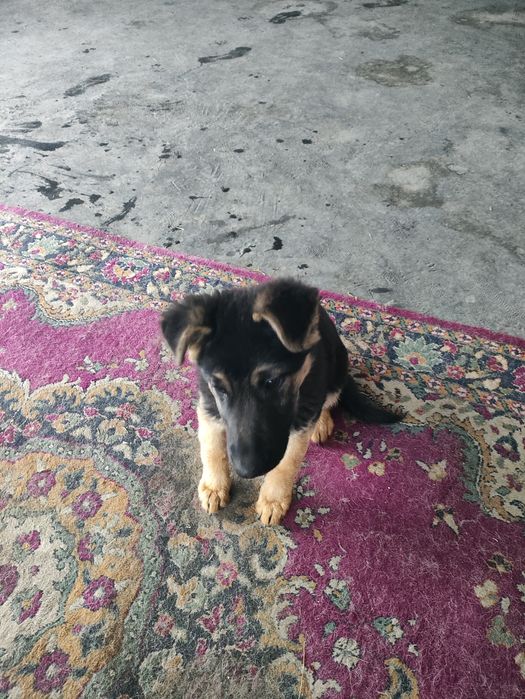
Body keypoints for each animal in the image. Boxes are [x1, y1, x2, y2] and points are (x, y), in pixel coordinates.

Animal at [162, 278, 401, 525]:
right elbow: (211, 446)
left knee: (327, 401)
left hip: (336, 371)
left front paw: (273, 499)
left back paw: (322, 423)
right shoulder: (208, 403)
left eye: (272, 381)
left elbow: (288, 462)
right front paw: (214, 486)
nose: (247, 471)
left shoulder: (301, 419)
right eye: (219, 388)